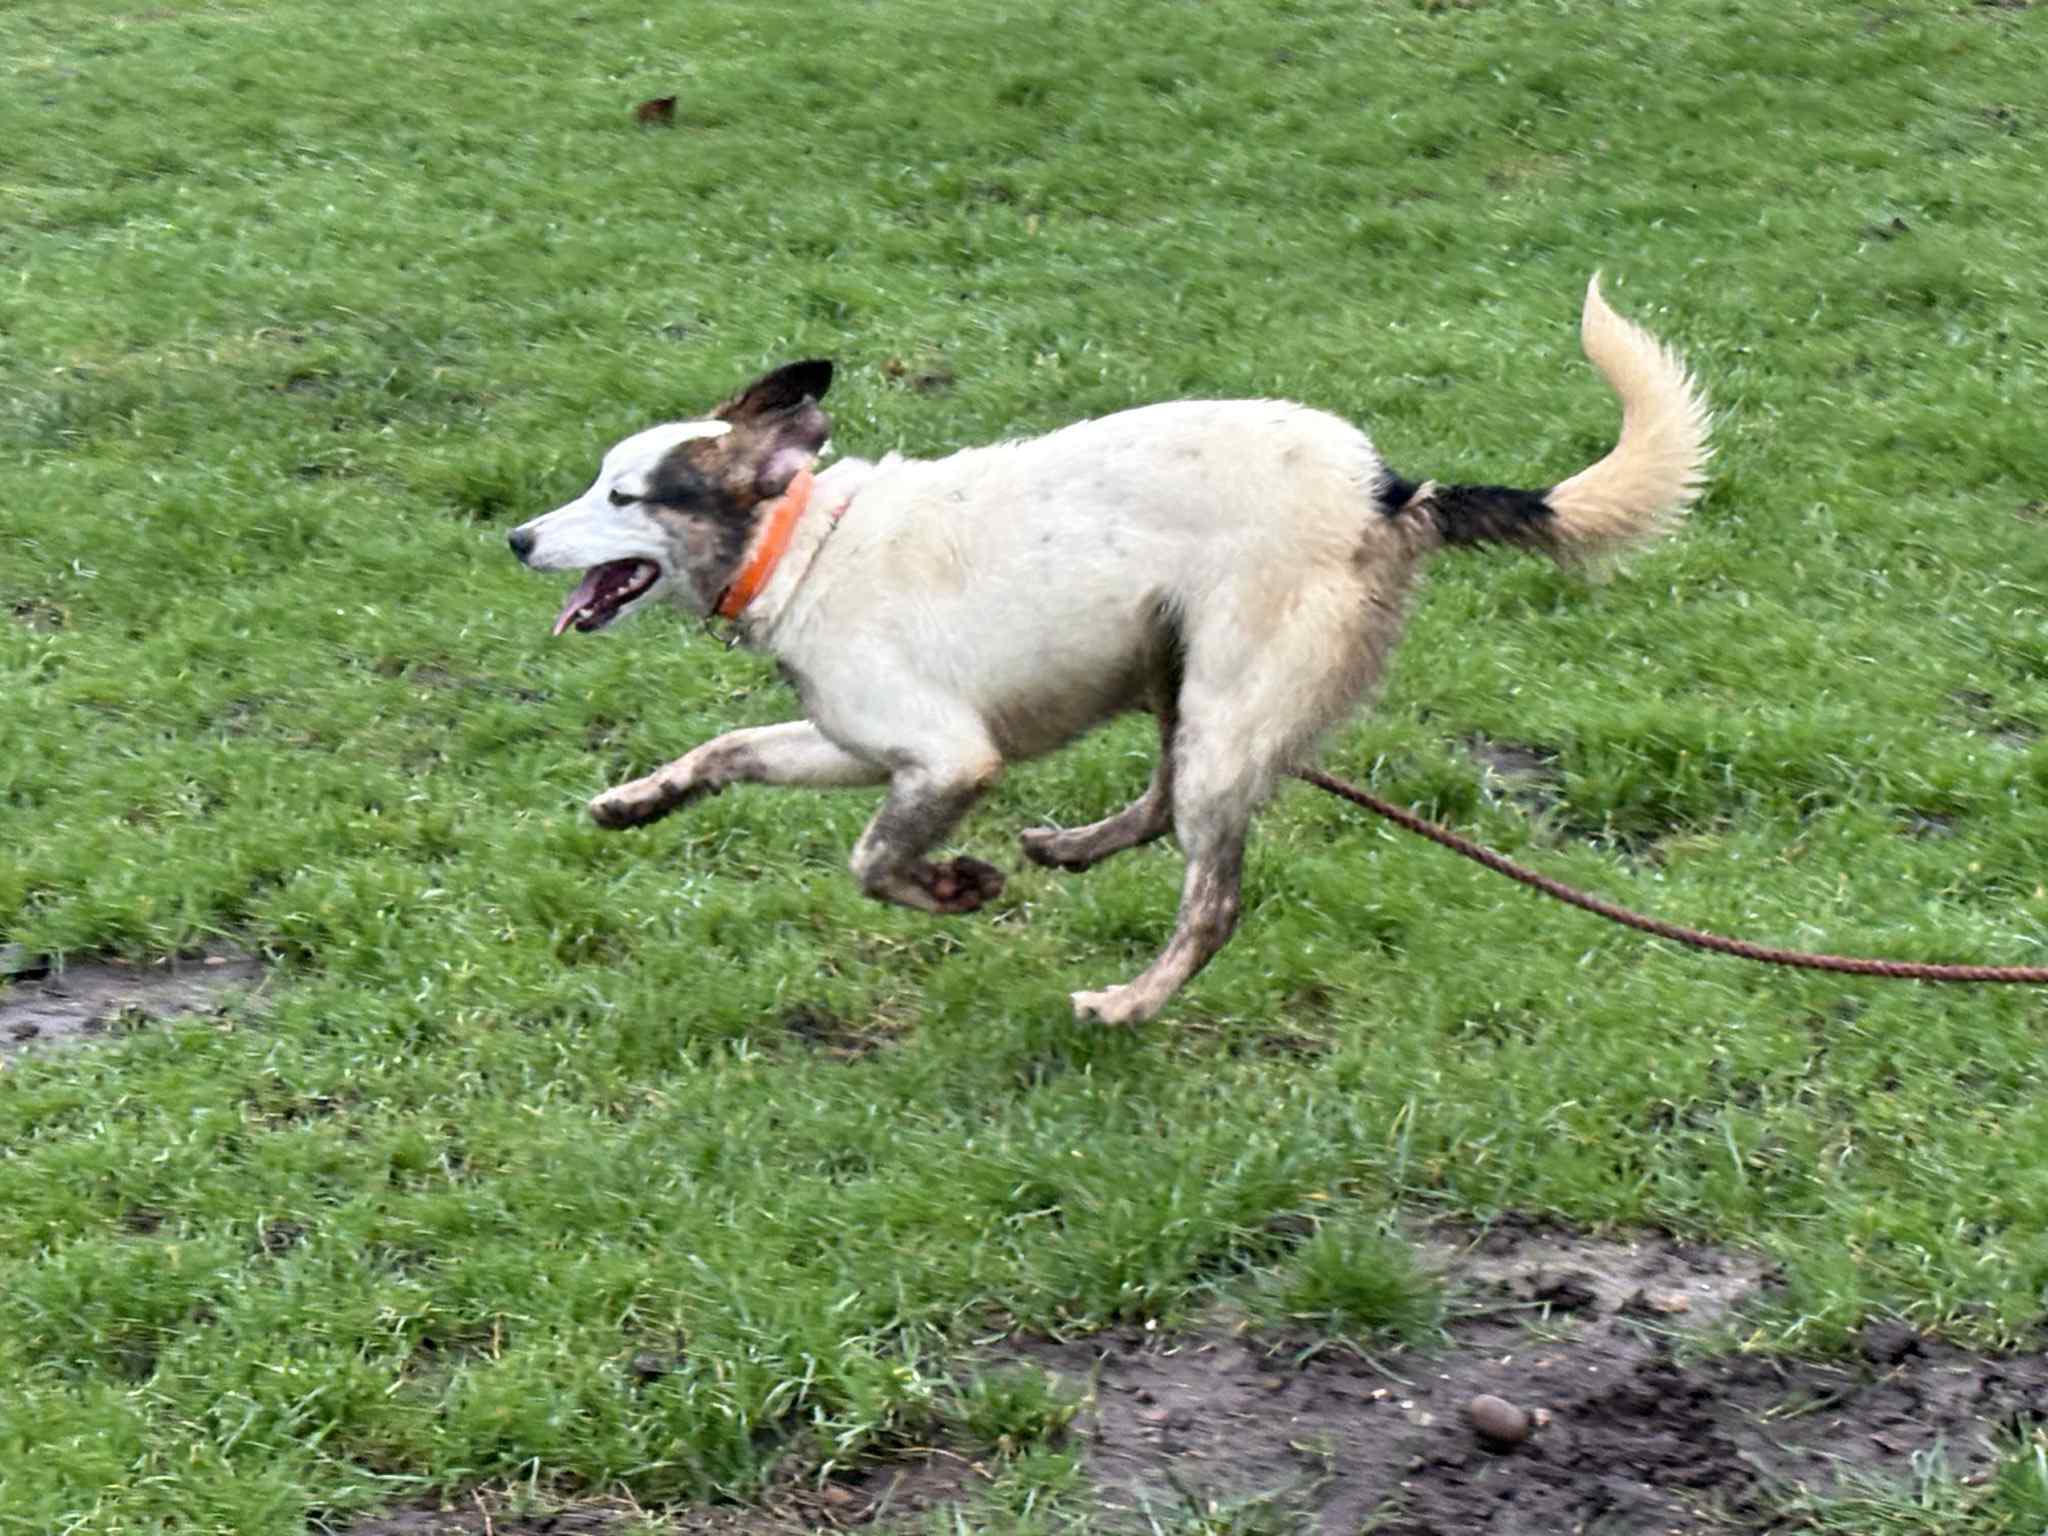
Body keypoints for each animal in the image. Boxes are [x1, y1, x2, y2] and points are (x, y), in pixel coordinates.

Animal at [508, 276, 1710, 1024]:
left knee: (1211, 895)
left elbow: (872, 861)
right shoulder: (854, 741)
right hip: (1182, 675)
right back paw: (1074, 846)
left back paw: (1129, 1002)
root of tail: (1390, 490)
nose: (516, 538)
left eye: (623, 496)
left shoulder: (944, 758)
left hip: (1227, 700)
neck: (800, 540)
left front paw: (955, 885)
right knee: (1163, 804)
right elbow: (727, 751)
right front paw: (635, 801)